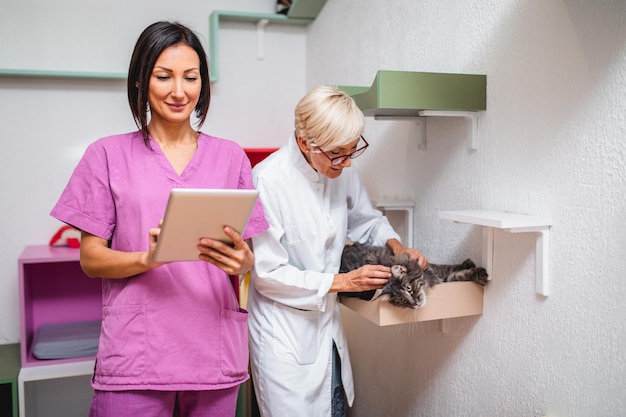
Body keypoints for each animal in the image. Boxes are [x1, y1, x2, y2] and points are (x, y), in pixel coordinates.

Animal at [336, 242, 488, 308]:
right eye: (401, 300)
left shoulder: (432, 270)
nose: (415, 303)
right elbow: (456, 275)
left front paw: (470, 266)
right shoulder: (437, 276)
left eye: (409, 288)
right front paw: (479, 273)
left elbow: (452, 270)